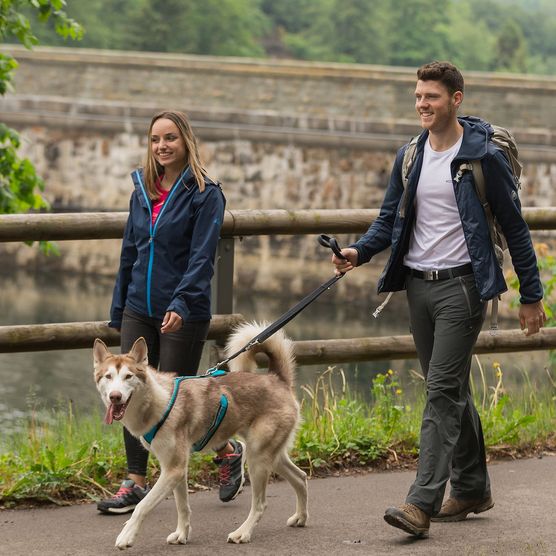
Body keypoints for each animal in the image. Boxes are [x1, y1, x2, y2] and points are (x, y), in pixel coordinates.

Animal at [92, 324, 308, 548]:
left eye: (128, 376)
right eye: (108, 376)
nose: (115, 396)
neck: (159, 401)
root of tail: (277, 379)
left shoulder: (173, 469)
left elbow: (142, 506)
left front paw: (127, 535)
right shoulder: (175, 470)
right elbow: (182, 507)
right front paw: (181, 534)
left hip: (258, 459)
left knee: (260, 504)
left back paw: (242, 533)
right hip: (271, 456)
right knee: (301, 477)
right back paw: (300, 517)